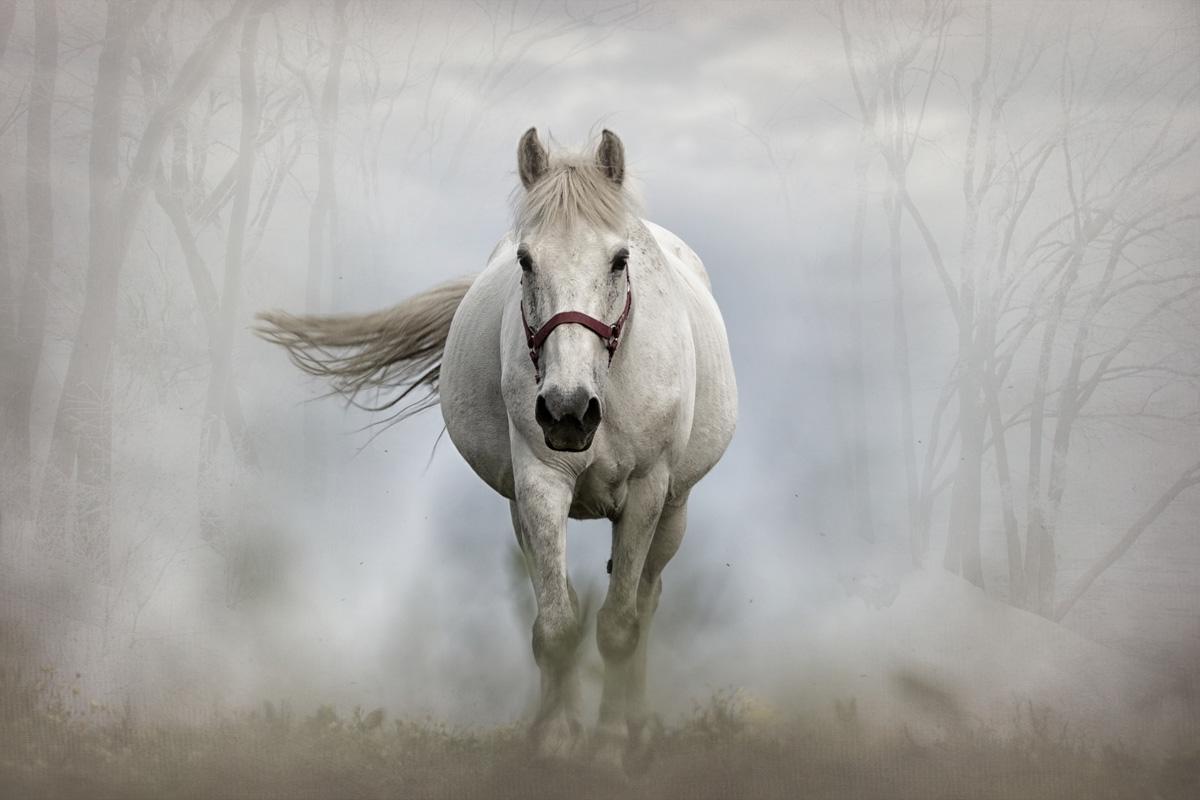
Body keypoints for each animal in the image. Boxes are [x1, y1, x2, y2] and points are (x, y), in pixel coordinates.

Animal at [256, 128, 737, 773]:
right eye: (526, 260)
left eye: (619, 259)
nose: (567, 411)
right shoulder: (539, 484)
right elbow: (556, 625)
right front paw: (555, 740)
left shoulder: (645, 493)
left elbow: (618, 625)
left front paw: (611, 746)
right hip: (522, 510)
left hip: (674, 509)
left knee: (647, 600)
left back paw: (636, 726)